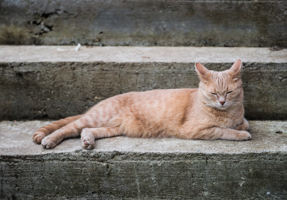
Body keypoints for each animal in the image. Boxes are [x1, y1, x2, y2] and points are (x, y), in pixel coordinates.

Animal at [32, 59, 251, 150]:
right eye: (214, 93)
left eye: (229, 92)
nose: (222, 101)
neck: (229, 112)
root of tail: (103, 101)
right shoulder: (196, 130)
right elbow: (224, 130)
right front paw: (241, 133)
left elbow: (243, 122)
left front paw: (241, 125)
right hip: (97, 117)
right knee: (69, 127)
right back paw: (50, 139)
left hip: (113, 128)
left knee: (86, 130)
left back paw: (87, 141)